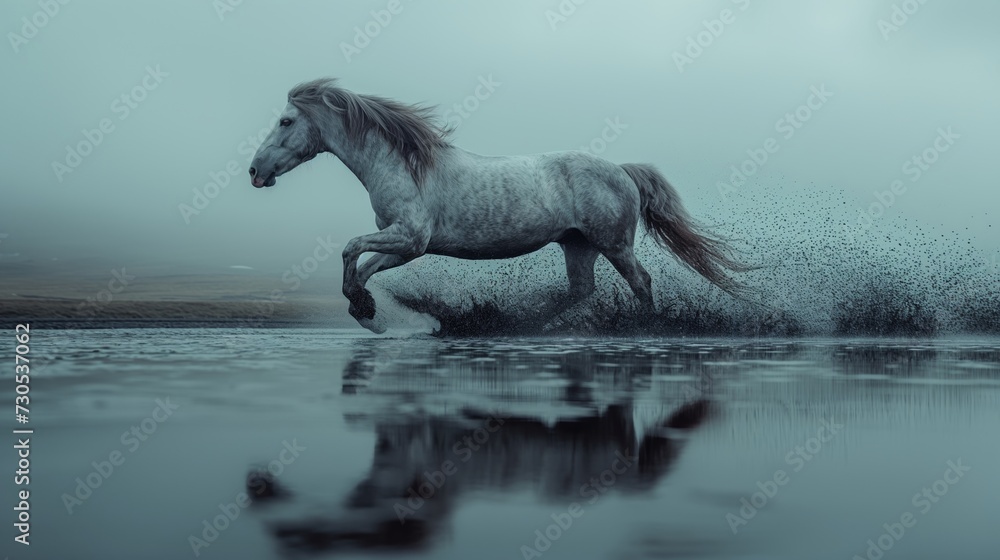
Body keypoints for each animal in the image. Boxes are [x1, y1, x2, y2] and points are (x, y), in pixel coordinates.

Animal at [249, 78, 748, 332]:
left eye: (286, 121)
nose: (255, 171)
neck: (403, 166)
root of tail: (623, 171)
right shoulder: (406, 245)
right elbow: (365, 266)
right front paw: (366, 312)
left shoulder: (410, 237)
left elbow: (350, 250)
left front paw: (366, 311)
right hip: (578, 245)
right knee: (580, 290)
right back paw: (525, 324)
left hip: (613, 244)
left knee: (640, 282)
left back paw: (647, 328)